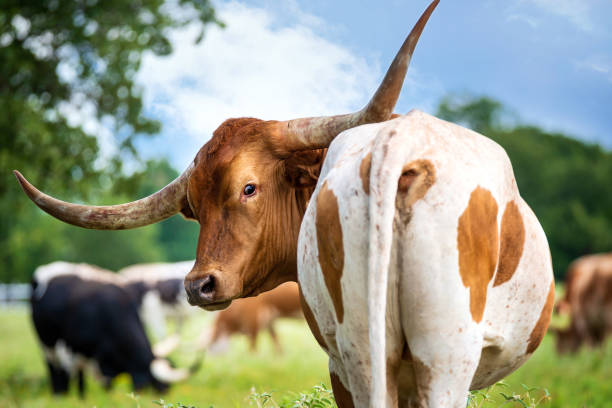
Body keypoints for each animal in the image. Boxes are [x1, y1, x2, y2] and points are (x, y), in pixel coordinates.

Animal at [28, 262, 190, 396]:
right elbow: (97, 381)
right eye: (158, 383)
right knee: (54, 369)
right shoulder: (81, 351)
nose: (165, 393)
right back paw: (60, 394)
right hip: (47, 344)